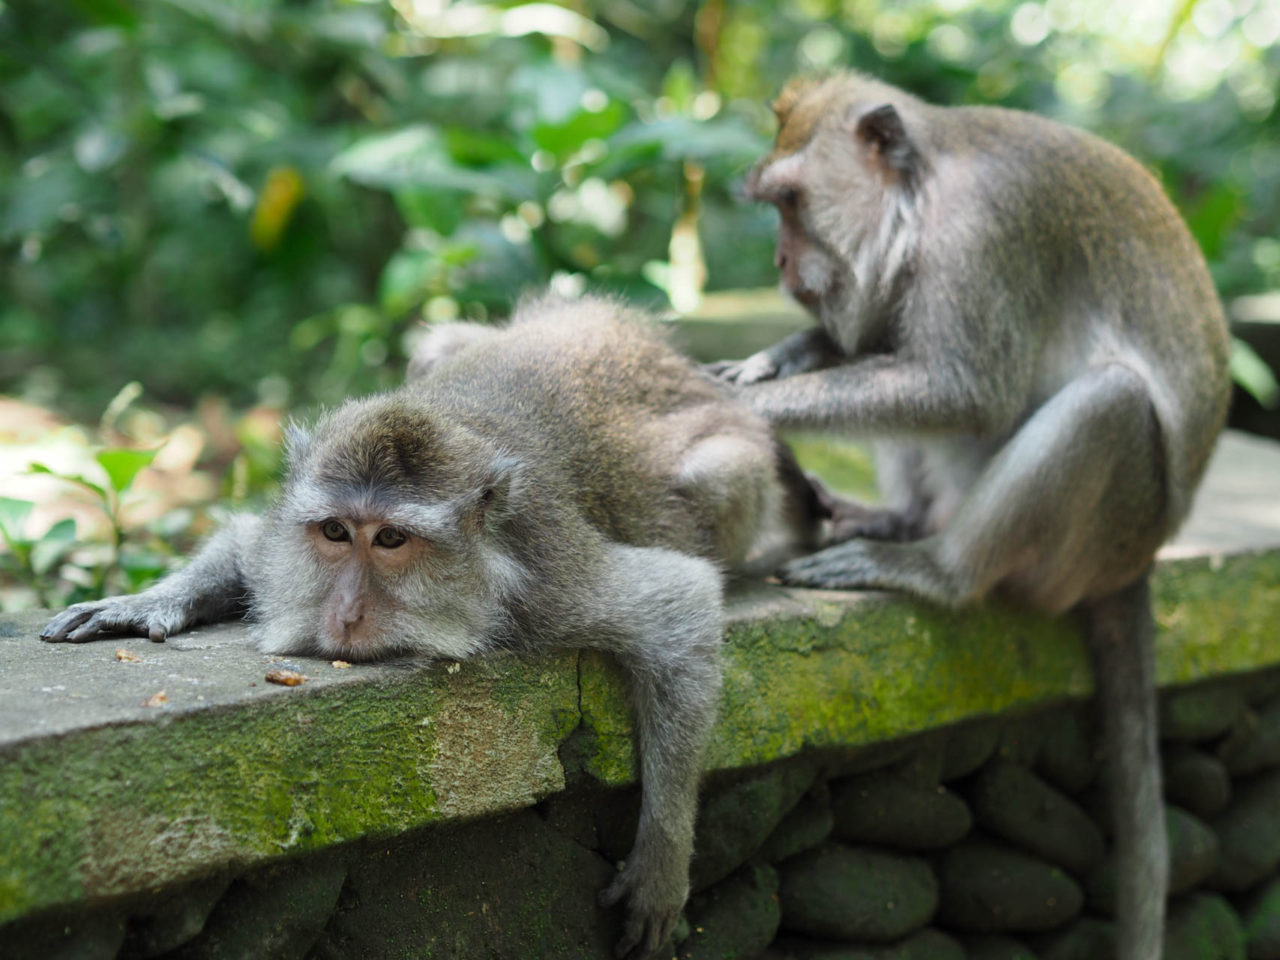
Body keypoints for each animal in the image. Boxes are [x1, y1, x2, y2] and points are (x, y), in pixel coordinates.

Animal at [42, 295, 819, 960]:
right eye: (335, 532)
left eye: (391, 539)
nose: (345, 614)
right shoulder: (284, 539)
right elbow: (245, 543)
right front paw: (146, 601)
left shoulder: (551, 585)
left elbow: (682, 605)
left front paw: (661, 863)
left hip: (731, 468)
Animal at [716, 73, 1233, 960]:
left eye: (790, 203)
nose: (781, 262)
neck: (922, 197)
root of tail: (1139, 562)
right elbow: (887, 346)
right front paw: (783, 356)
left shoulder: (983, 233)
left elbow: (962, 388)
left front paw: (739, 400)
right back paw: (895, 520)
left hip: (1099, 542)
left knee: (1107, 404)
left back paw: (935, 569)